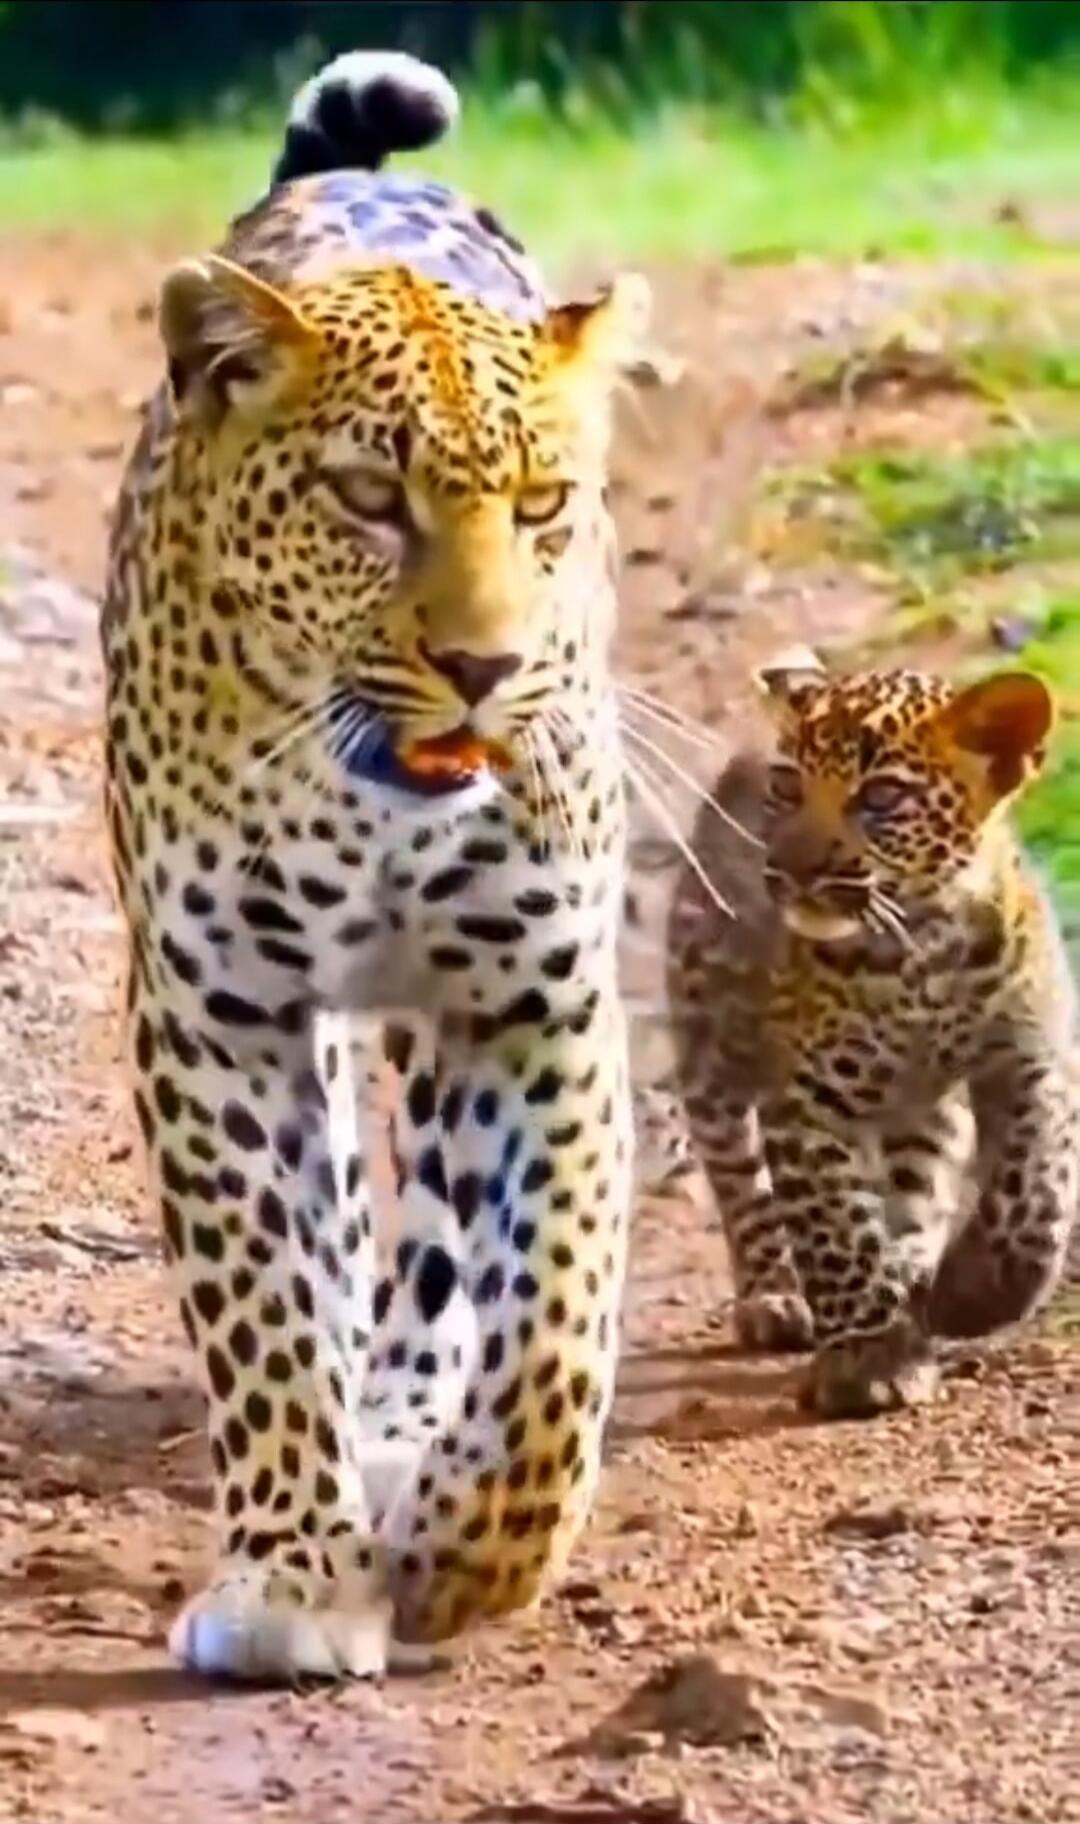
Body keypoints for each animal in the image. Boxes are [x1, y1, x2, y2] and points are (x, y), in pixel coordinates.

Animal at [102, 50, 652, 1682]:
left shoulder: (540, 1002)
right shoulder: (215, 1014)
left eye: (542, 505)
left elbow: (554, 1333)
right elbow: (263, 1299)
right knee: (346, 1216)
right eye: (365, 499)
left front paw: (466, 1553)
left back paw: (410, 1423)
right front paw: (295, 1576)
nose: (485, 668)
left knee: (434, 1251)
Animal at [666, 646, 1077, 1418]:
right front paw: (867, 1359)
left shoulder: (1029, 1059)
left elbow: (1035, 1190)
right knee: (741, 1182)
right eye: (788, 786)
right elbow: (833, 1228)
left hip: (927, 1110)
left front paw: (976, 1294)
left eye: (882, 797)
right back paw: (777, 1297)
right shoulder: (804, 1100)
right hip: (709, 1053)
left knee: (918, 1185)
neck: (919, 954)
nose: (790, 869)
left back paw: (915, 1270)